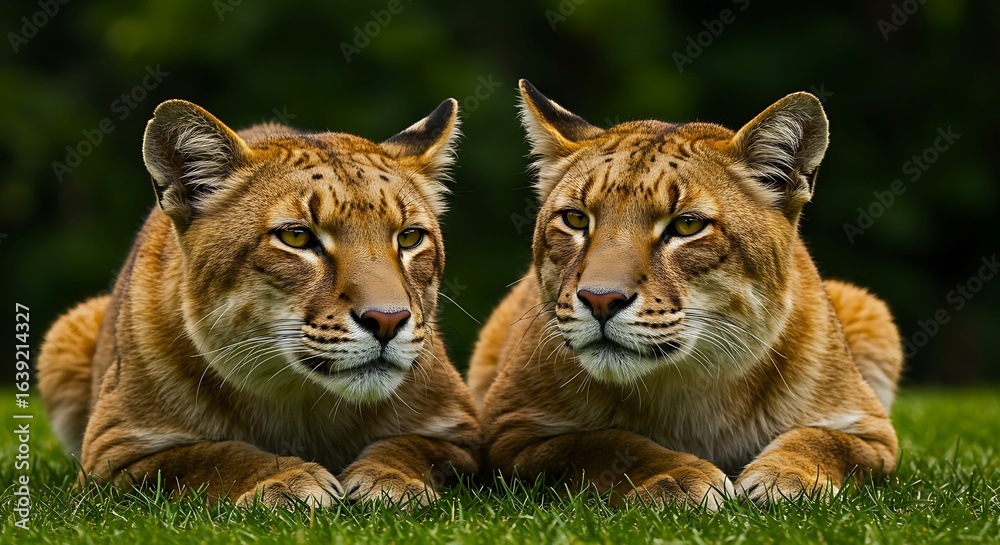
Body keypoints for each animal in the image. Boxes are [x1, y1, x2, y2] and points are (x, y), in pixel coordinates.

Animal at [38, 98, 481, 508]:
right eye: (297, 237)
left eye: (409, 237)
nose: (388, 321)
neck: (301, 399)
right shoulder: (111, 458)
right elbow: (208, 456)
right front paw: (284, 480)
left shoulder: (465, 436)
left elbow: (414, 446)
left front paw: (392, 480)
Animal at [470, 80, 902, 507]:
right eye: (575, 219)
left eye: (687, 226)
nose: (600, 300)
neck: (692, 380)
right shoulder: (509, 432)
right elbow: (601, 443)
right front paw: (676, 476)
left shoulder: (873, 431)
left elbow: (823, 439)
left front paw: (788, 477)